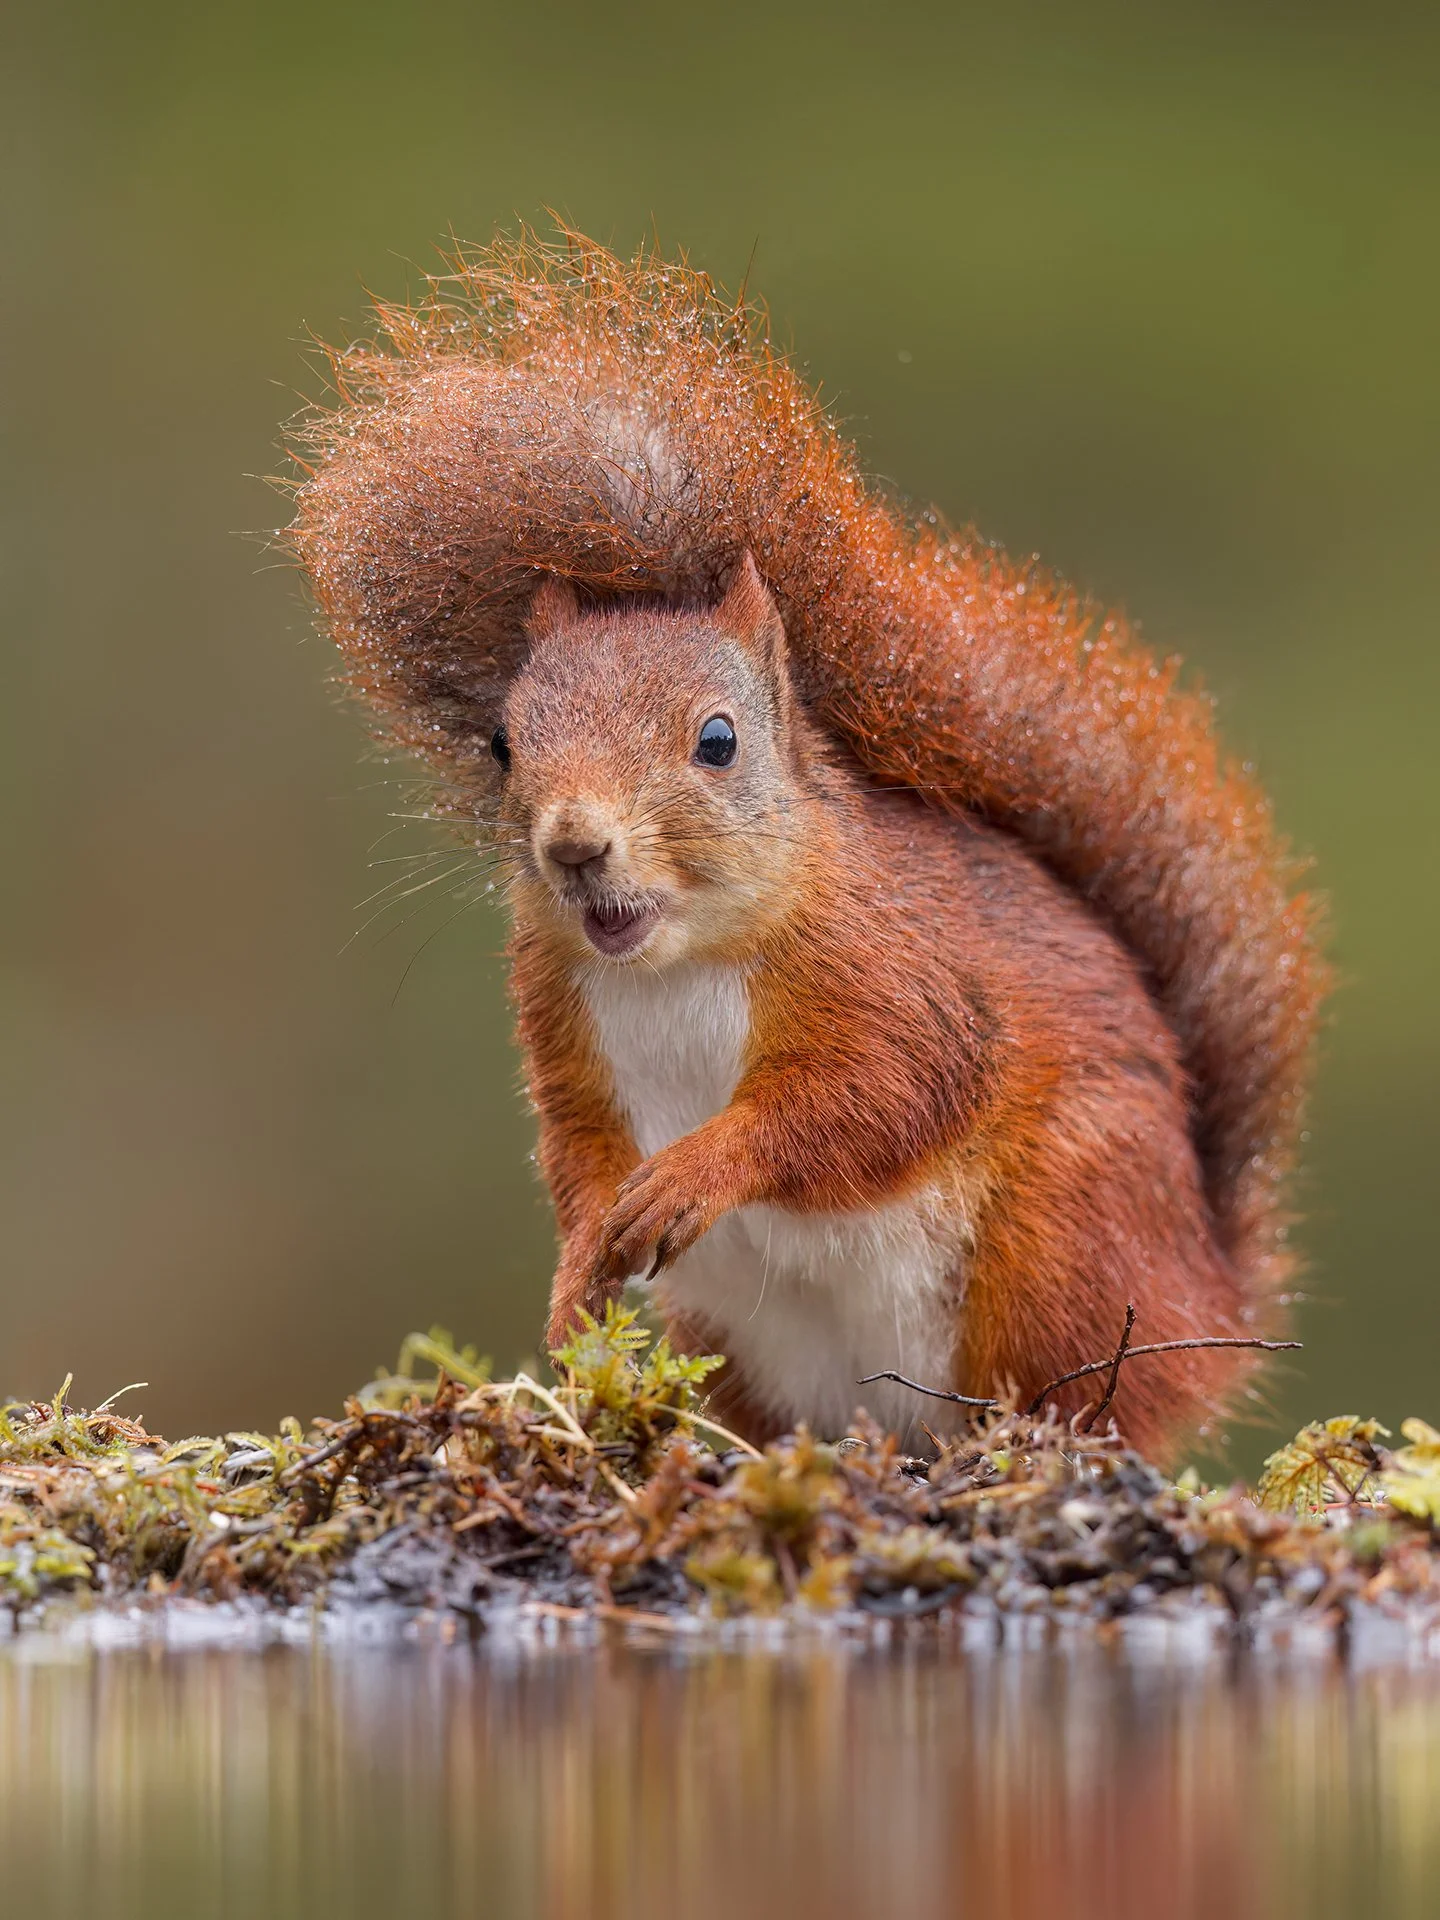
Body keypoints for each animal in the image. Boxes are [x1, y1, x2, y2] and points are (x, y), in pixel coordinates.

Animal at [290, 229, 1326, 1458]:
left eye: (718, 741)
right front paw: (576, 1278)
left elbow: (874, 1099)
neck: (678, 966)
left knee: (1084, 1398)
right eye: (504, 744)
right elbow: (579, 1161)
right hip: (741, 1343)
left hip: (1064, 1240)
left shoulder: (896, 976)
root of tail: (1207, 1295)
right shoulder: (560, 1024)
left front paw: (697, 1172)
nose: (575, 848)